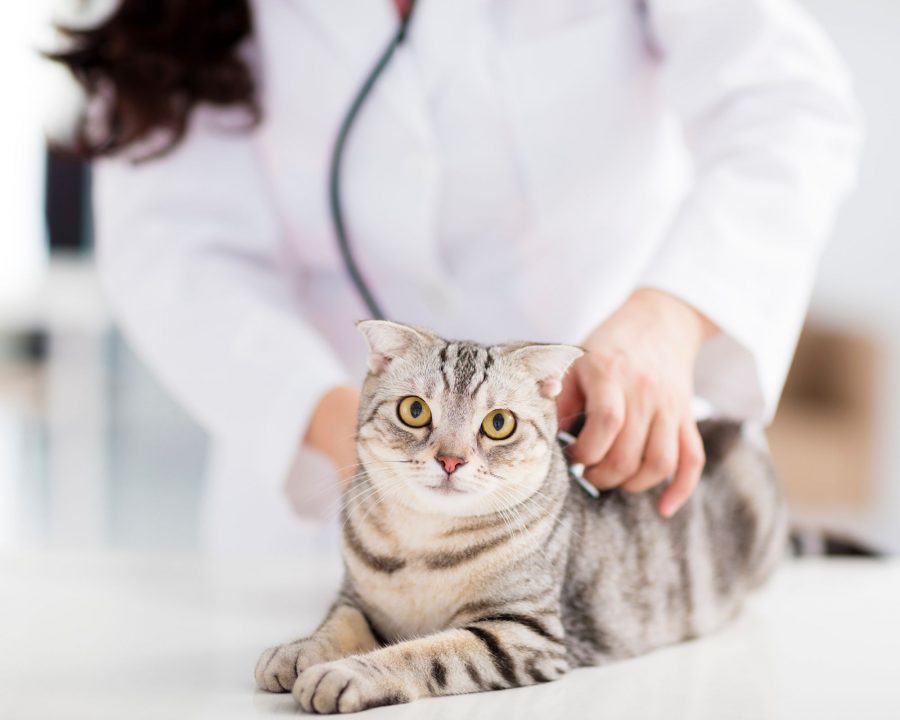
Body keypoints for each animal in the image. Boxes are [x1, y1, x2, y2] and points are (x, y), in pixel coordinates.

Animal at [255, 322, 788, 716]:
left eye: (498, 424)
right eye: (414, 411)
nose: (450, 460)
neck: (423, 546)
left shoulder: (522, 634)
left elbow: (423, 653)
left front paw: (347, 672)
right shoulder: (358, 599)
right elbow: (336, 625)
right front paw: (298, 650)